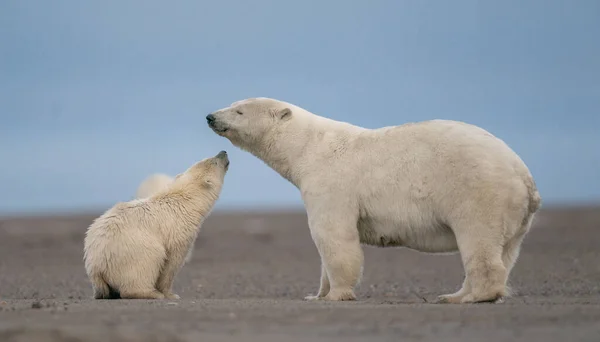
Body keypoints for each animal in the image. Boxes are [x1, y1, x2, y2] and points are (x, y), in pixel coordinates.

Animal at [82, 152, 227, 300]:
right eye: (214, 161)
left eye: (206, 158)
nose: (223, 152)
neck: (185, 201)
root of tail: (96, 268)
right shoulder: (178, 229)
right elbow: (172, 262)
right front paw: (171, 294)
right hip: (134, 250)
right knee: (146, 263)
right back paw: (152, 293)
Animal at [206, 97, 540, 304]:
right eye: (233, 104)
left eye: (239, 110)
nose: (210, 116)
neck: (308, 147)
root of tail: (524, 175)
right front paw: (317, 294)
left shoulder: (330, 182)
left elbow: (333, 235)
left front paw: (337, 294)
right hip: (515, 214)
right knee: (506, 250)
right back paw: (460, 293)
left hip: (478, 191)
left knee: (477, 238)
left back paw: (467, 296)